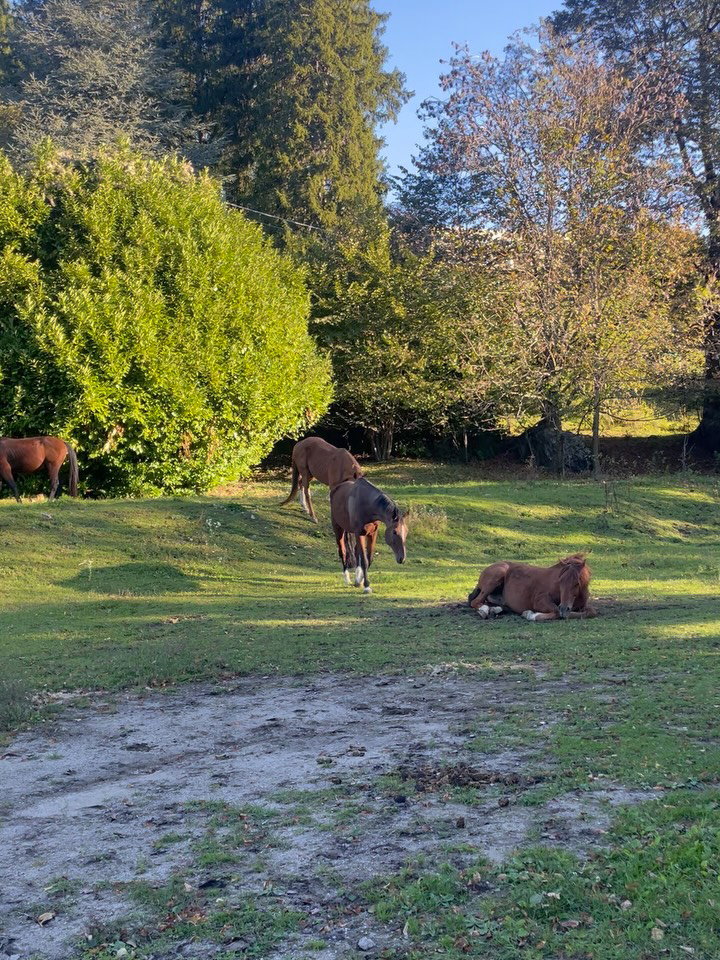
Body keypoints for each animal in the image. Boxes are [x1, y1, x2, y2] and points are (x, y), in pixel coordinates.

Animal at [468, 554, 597, 622]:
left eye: (577, 583)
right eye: (560, 581)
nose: (564, 608)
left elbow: (590, 612)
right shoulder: (539, 600)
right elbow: (556, 611)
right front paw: (530, 614)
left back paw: (494, 610)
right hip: (496, 576)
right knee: (476, 601)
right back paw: (484, 611)